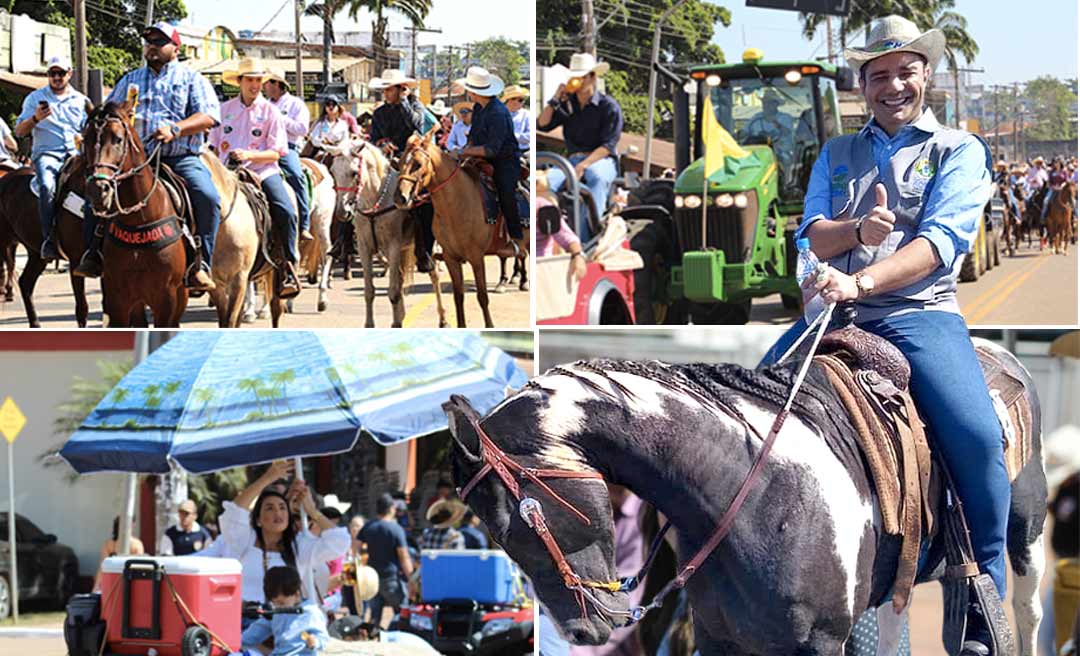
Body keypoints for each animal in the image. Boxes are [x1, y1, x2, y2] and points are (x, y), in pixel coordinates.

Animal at [83, 101, 186, 326]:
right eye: (85, 139)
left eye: (118, 139)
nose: (98, 190)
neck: (139, 220)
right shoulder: (117, 297)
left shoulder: (166, 298)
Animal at [397, 129, 531, 330]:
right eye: (399, 163)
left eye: (418, 164)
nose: (400, 198)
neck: (458, 203)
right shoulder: (450, 257)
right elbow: (458, 296)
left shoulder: (476, 257)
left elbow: (482, 296)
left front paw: (490, 325)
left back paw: (521, 281)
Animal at [440, 341, 1045, 652]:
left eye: (514, 523)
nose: (578, 631)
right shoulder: (719, 637)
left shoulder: (818, 642)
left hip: (1024, 538)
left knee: (1025, 607)